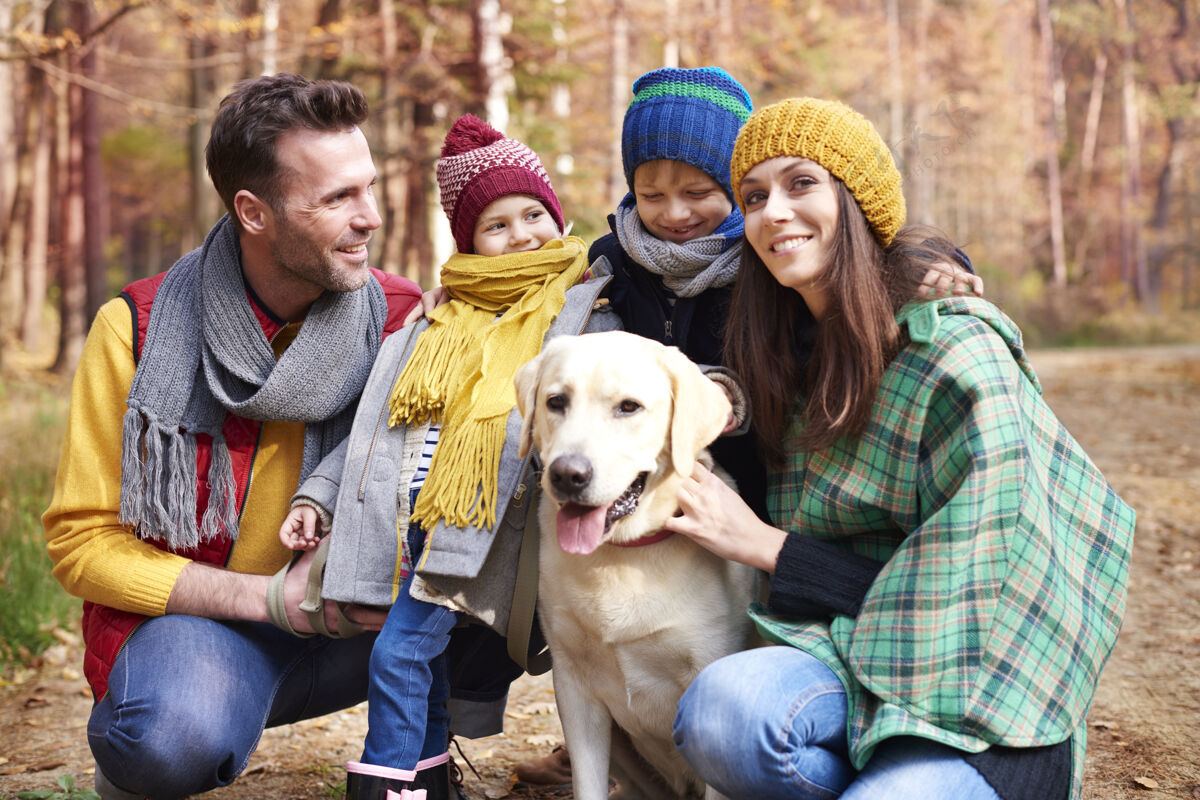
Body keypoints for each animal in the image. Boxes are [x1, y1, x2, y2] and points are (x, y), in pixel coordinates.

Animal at [516, 331, 758, 800]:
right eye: (556, 402)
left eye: (629, 407)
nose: (566, 474)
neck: (622, 556)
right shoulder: (573, 688)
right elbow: (587, 784)